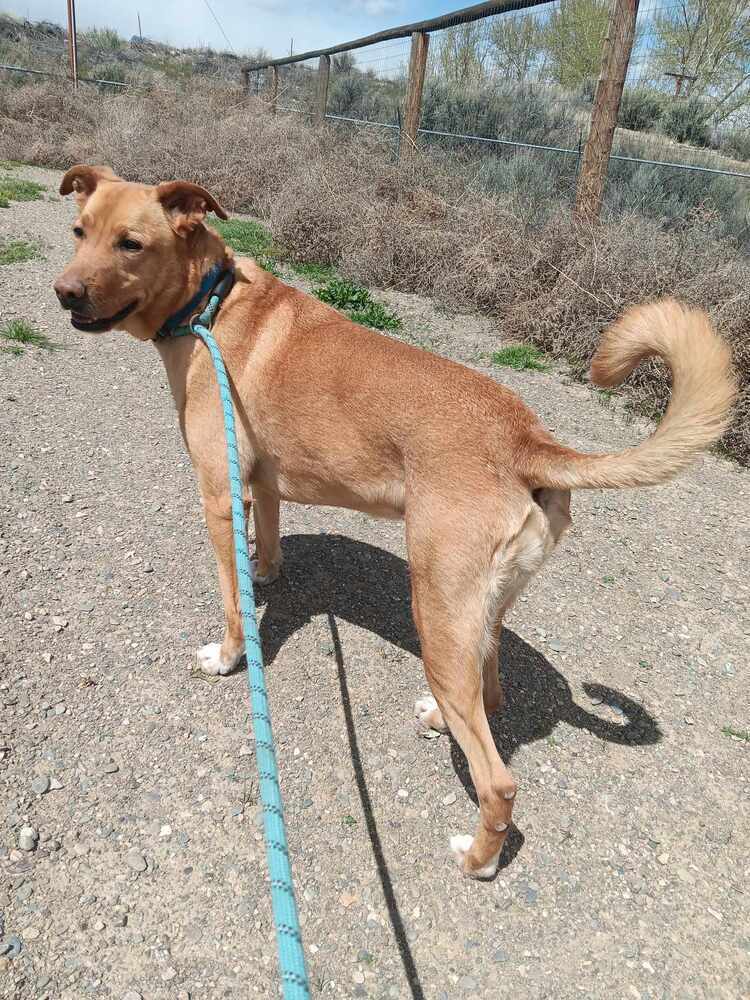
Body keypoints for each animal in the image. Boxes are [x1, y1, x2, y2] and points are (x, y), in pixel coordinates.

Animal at [55, 164, 736, 876]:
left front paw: (228, 654)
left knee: (499, 778)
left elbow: (232, 602)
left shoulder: (219, 496)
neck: (211, 305)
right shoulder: (261, 484)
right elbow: (267, 539)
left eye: (131, 244)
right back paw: (441, 720)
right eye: (79, 231)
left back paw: (479, 858)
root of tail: (527, 438)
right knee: (490, 695)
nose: (64, 293)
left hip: (436, 610)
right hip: (478, 611)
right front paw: (266, 572)